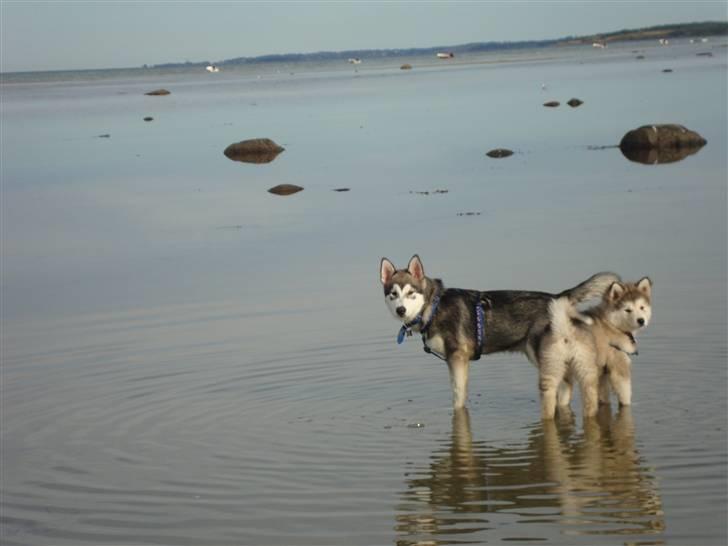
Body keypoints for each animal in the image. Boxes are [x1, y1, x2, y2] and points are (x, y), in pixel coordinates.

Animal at [382, 255, 620, 408]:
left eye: (411, 293)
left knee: (564, 384)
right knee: (567, 383)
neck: (434, 306)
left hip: (541, 355)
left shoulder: (458, 358)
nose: (401, 310)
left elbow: (458, 398)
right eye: (393, 294)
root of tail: (556, 298)